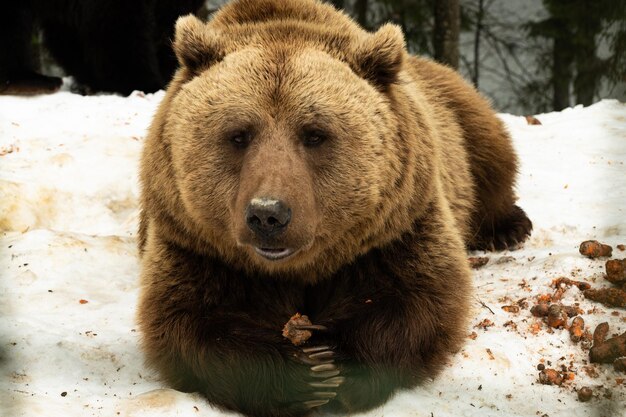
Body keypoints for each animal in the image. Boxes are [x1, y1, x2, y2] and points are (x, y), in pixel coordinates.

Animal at [134, 0, 528, 416]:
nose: (267, 215)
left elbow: (421, 299)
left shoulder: (395, 231)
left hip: (456, 117)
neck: (302, 266)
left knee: (490, 151)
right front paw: (306, 372)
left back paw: (508, 228)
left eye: (315, 134)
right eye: (238, 134)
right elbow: (187, 320)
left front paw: (336, 361)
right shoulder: (197, 245)